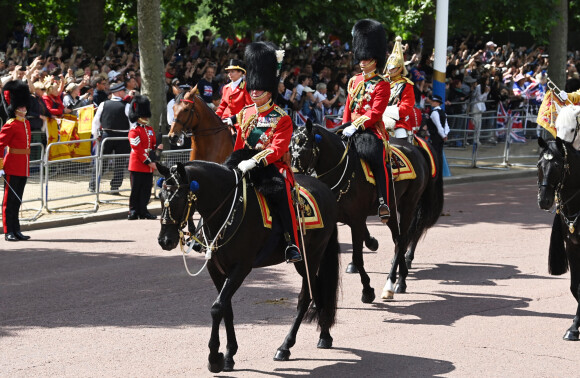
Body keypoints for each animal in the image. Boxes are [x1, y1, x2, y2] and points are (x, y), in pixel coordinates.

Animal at [156, 160, 342, 372]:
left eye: (178, 198)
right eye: (161, 196)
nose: (165, 240)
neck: (226, 211)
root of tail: (325, 189)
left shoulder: (241, 268)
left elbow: (217, 307)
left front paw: (215, 358)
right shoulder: (216, 269)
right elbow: (226, 308)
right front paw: (229, 354)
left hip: (309, 258)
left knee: (308, 295)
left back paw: (287, 346)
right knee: (316, 290)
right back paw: (323, 335)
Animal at [292, 122, 442, 302]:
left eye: (305, 148)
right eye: (290, 148)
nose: (295, 180)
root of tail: (415, 148)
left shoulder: (356, 218)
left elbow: (357, 257)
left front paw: (367, 290)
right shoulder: (343, 219)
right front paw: (372, 242)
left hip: (409, 204)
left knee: (403, 239)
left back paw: (392, 283)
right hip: (392, 207)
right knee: (398, 238)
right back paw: (402, 277)